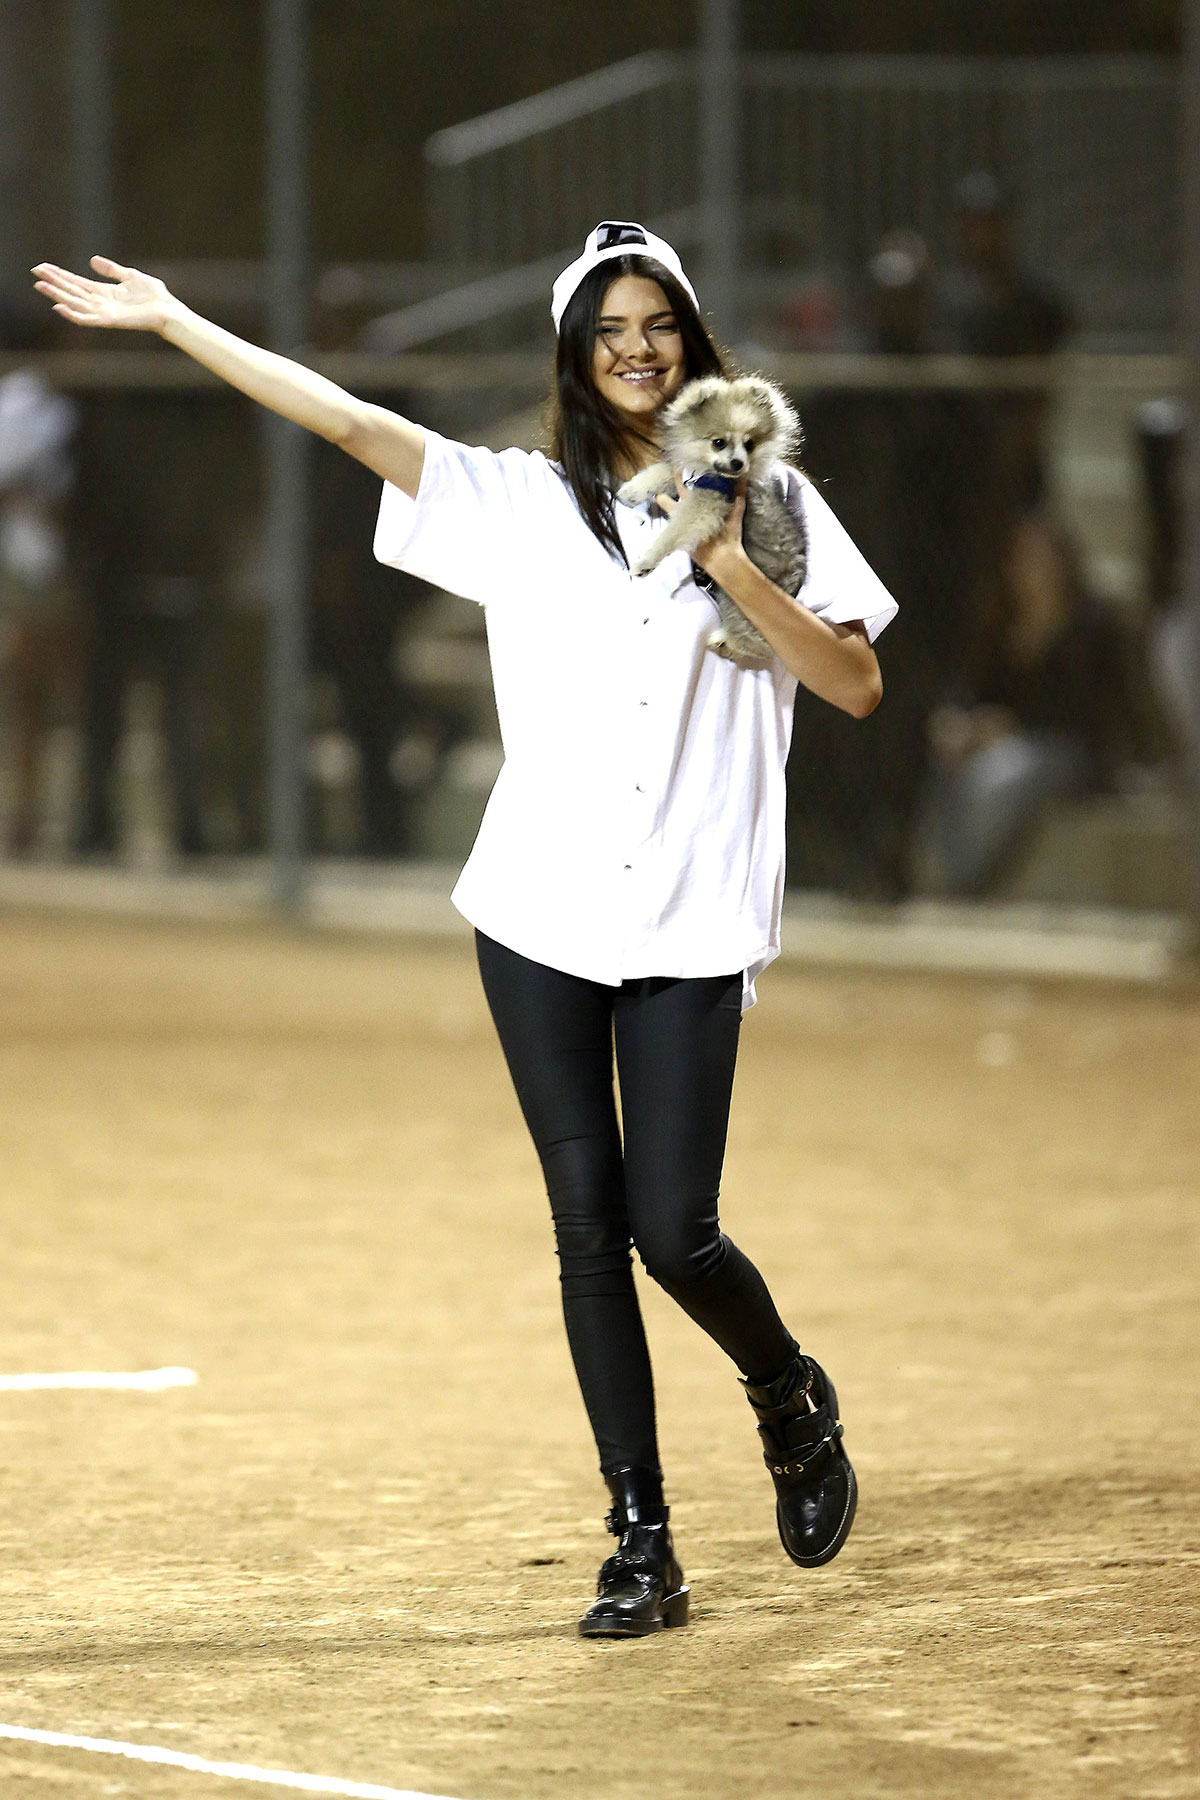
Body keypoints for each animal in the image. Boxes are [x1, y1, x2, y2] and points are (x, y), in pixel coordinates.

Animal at [618, 372, 805, 662]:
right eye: (719, 442)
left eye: (749, 444)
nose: (739, 463)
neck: (711, 473)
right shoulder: (690, 476)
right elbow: (662, 470)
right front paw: (633, 490)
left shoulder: (708, 501)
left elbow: (674, 532)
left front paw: (647, 561)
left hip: (745, 596)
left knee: (757, 642)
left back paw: (725, 641)